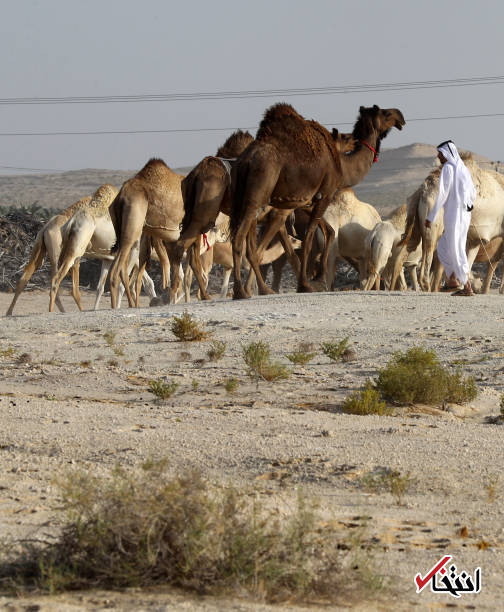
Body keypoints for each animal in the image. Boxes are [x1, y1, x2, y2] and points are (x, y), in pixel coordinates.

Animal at [230, 103, 404, 298]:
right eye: (385, 113)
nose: (400, 116)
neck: (342, 166)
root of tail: (244, 162)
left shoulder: (306, 201)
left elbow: (329, 232)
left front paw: (318, 279)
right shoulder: (325, 195)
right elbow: (308, 240)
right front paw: (307, 284)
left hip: (243, 199)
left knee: (249, 243)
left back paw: (254, 289)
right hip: (256, 197)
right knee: (240, 239)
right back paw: (242, 291)